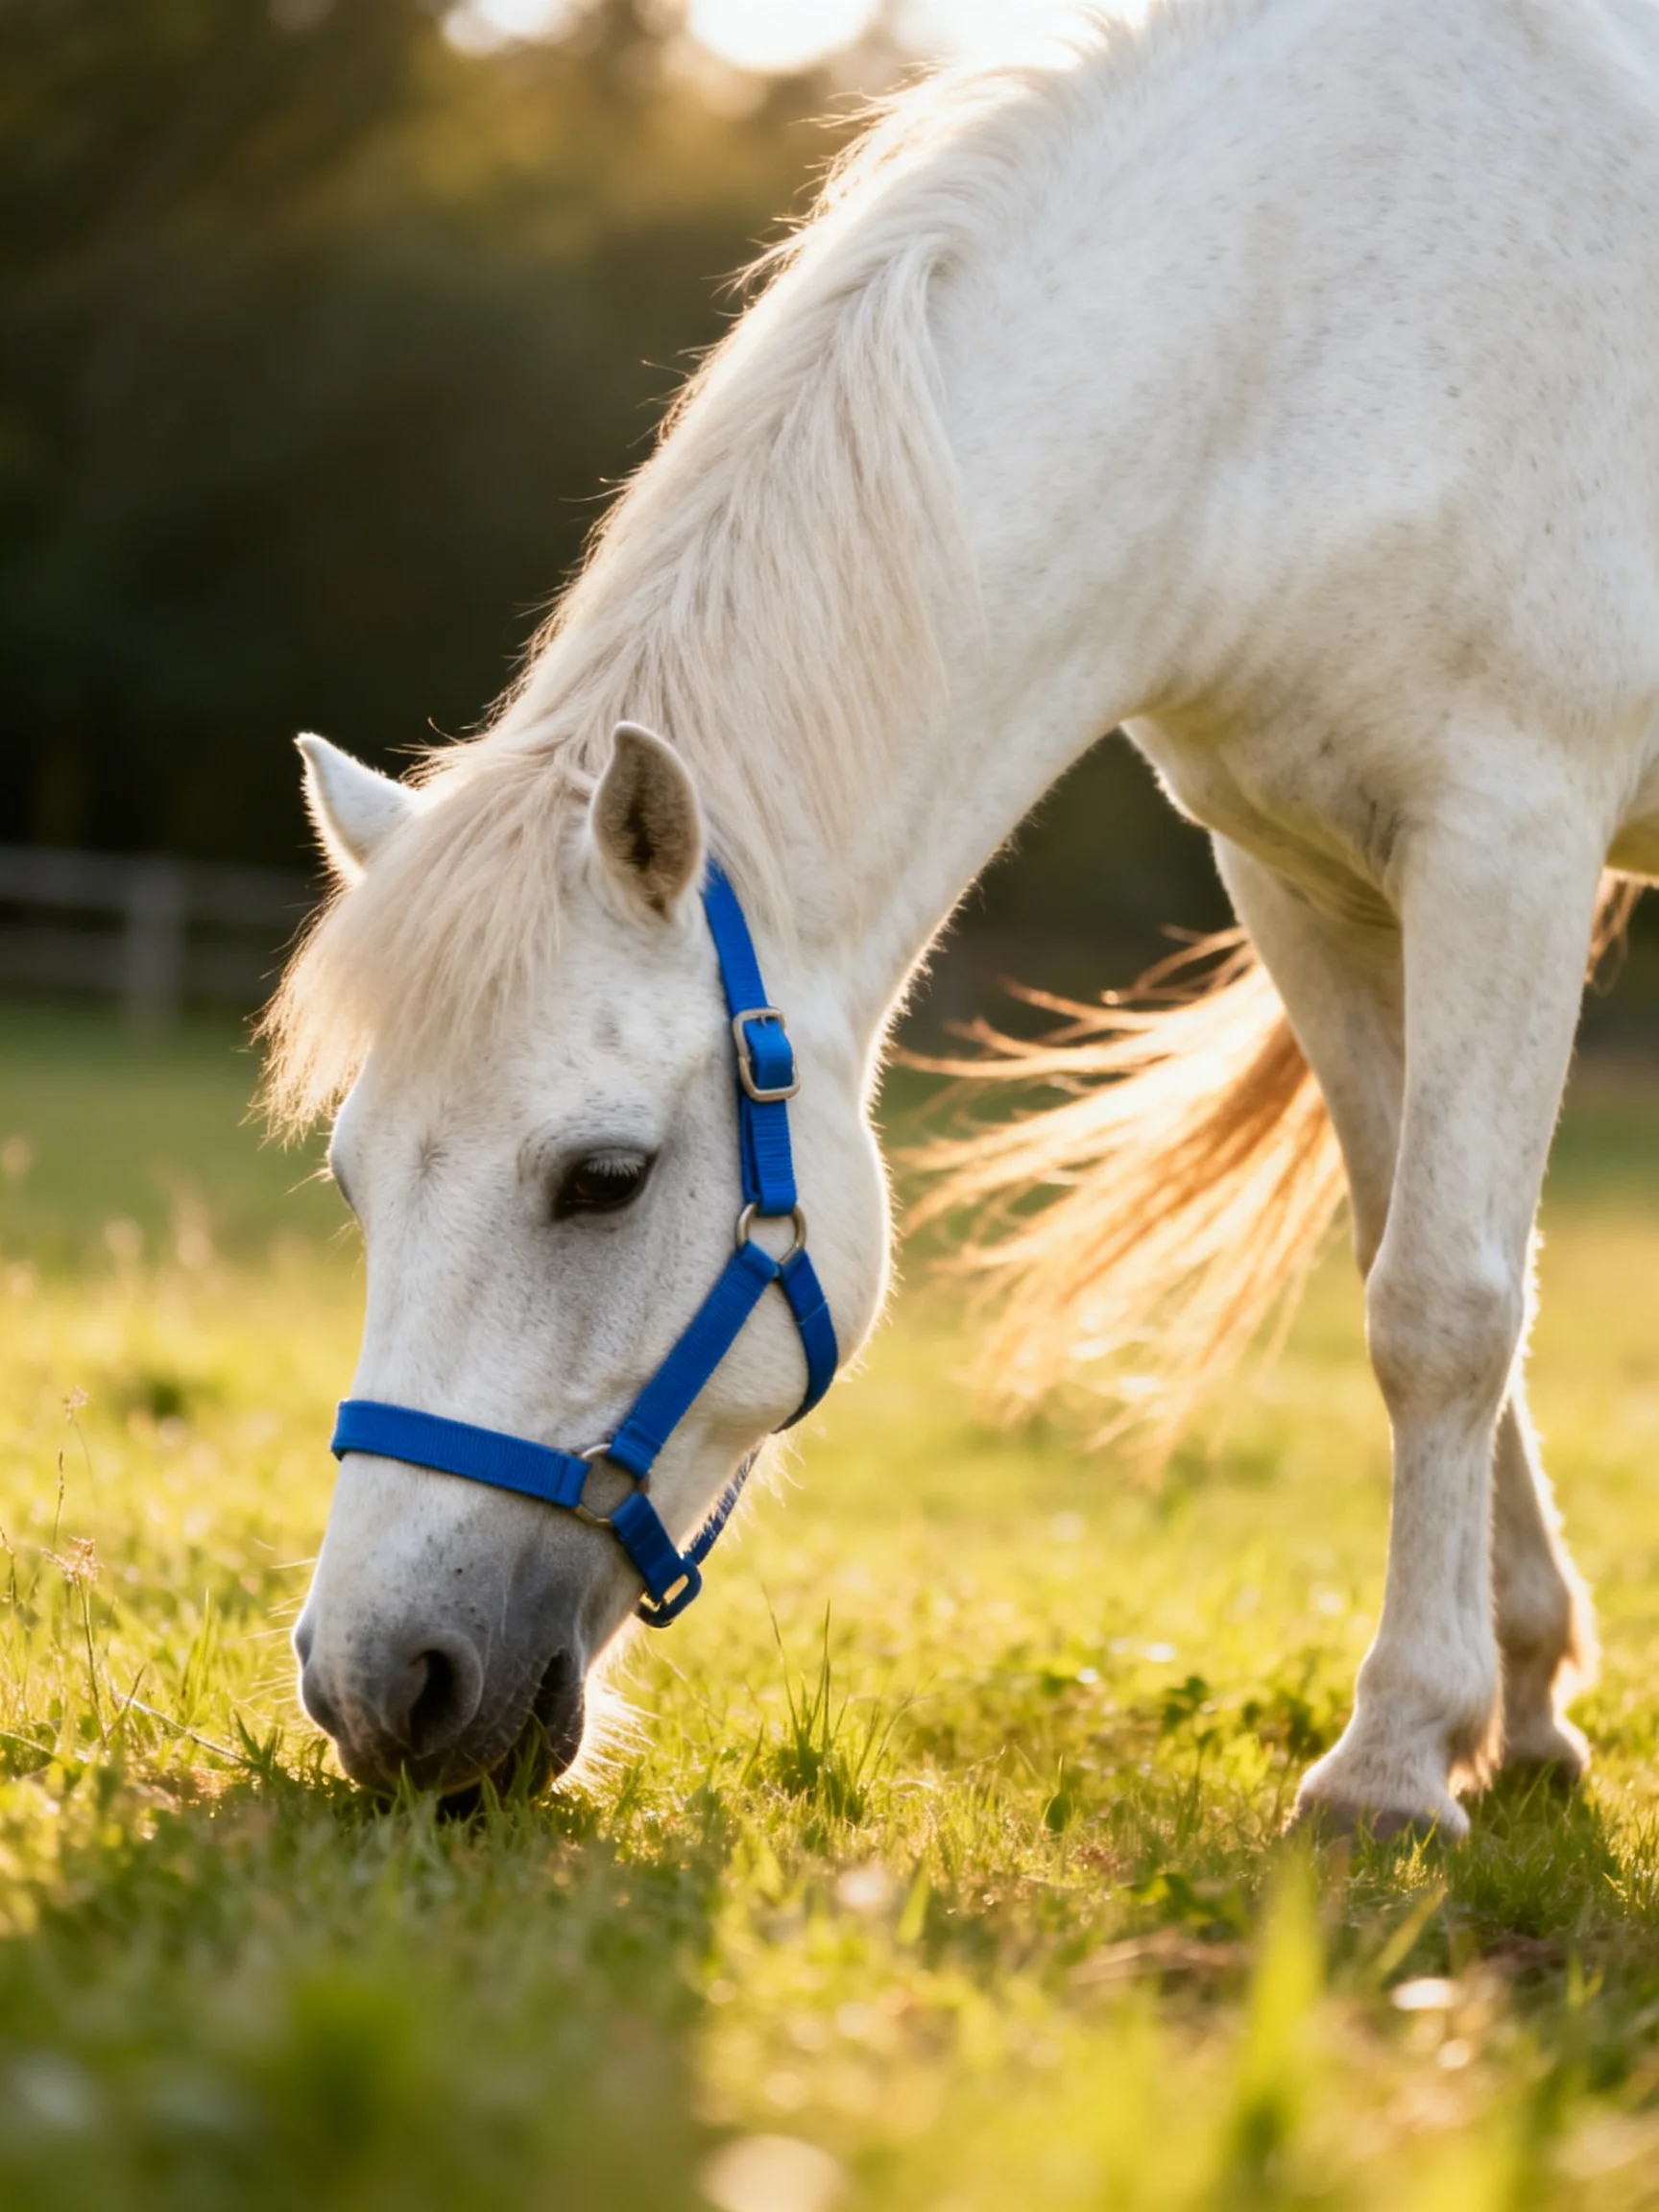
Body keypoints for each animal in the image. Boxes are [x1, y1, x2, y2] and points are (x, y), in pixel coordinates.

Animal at [269, 0, 1659, 1838]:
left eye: (604, 1178)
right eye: (355, 1178)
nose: (381, 1688)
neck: (1307, 315)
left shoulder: (1506, 838)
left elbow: (1442, 1306)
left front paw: (1388, 1762)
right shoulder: (1311, 881)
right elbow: (1418, 1267)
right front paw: (1518, 1706)